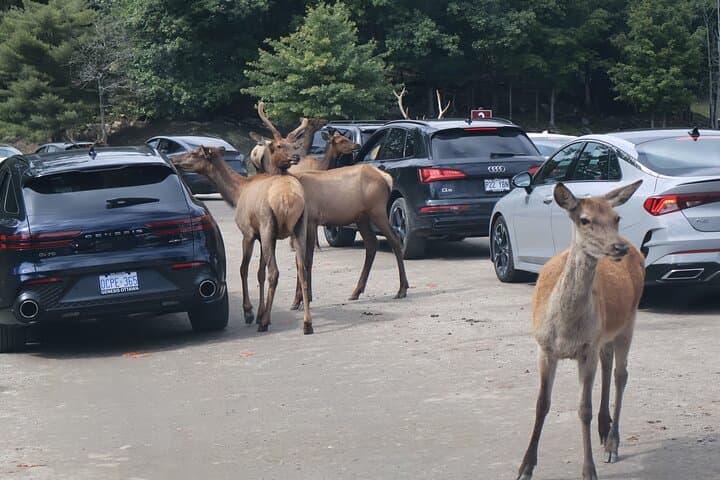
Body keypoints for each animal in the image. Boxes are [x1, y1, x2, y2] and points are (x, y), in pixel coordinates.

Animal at [171, 144, 315, 335]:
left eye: (194, 153)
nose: (173, 159)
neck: (237, 193)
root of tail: (288, 199)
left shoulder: (249, 233)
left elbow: (243, 269)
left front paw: (250, 313)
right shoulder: (263, 237)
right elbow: (260, 273)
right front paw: (260, 312)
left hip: (268, 223)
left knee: (275, 272)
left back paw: (265, 323)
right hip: (298, 228)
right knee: (302, 270)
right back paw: (307, 323)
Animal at [516, 180, 644, 480]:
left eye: (616, 217)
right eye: (584, 220)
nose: (618, 247)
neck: (564, 329)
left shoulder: (586, 348)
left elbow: (583, 409)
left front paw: (589, 471)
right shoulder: (544, 348)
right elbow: (541, 404)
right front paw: (525, 467)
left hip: (629, 320)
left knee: (621, 375)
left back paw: (612, 443)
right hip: (605, 334)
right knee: (608, 363)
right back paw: (604, 430)